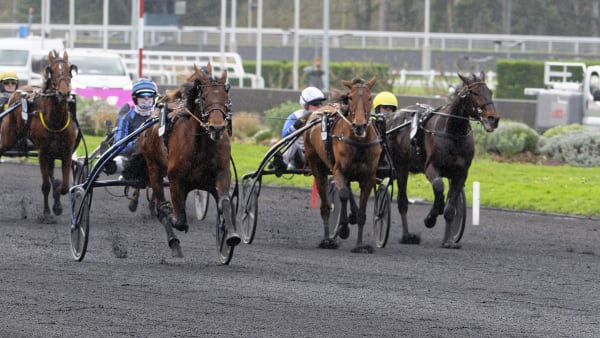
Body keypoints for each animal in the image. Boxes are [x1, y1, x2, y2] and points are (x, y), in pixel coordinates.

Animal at [0, 48, 78, 220]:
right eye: (52, 71)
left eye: (69, 70)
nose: (64, 93)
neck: (55, 121)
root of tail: (18, 92)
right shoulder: (43, 152)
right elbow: (46, 185)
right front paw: (47, 212)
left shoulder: (66, 152)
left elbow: (64, 186)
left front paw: (57, 203)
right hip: (7, 138)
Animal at [139, 62, 240, 258]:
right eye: (204, 97)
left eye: (225, 97)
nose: (217, 128)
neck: (201, 144)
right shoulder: (176, 179)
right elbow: (179, 220)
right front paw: (172, 218)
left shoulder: (222, 173)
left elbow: (224, 202)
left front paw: (230, 235)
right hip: (153, 168)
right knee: (162, 205)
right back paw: (173, 242)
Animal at [304, 76, 380, 251]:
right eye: (350, 97)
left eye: (370, 97)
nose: (359, 125)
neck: (359, 142)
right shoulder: (338, 170)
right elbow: (343, 194)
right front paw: (344, 229)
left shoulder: (369, 177)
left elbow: (361, 213)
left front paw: (360, 245)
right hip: (318, 167)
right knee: (326, 206)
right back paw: (327, 240)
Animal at [386, 71, 500, 248]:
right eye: (474, 93)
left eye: (490, 91)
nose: (493, 119)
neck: (453, 134)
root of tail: (393, 119)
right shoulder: (431, 168)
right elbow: (439, 187)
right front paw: (430, 218)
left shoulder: (461, 173)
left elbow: (450, 208)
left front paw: (448, 241)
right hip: (401, 168)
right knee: (402, 202)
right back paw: (407, 236)